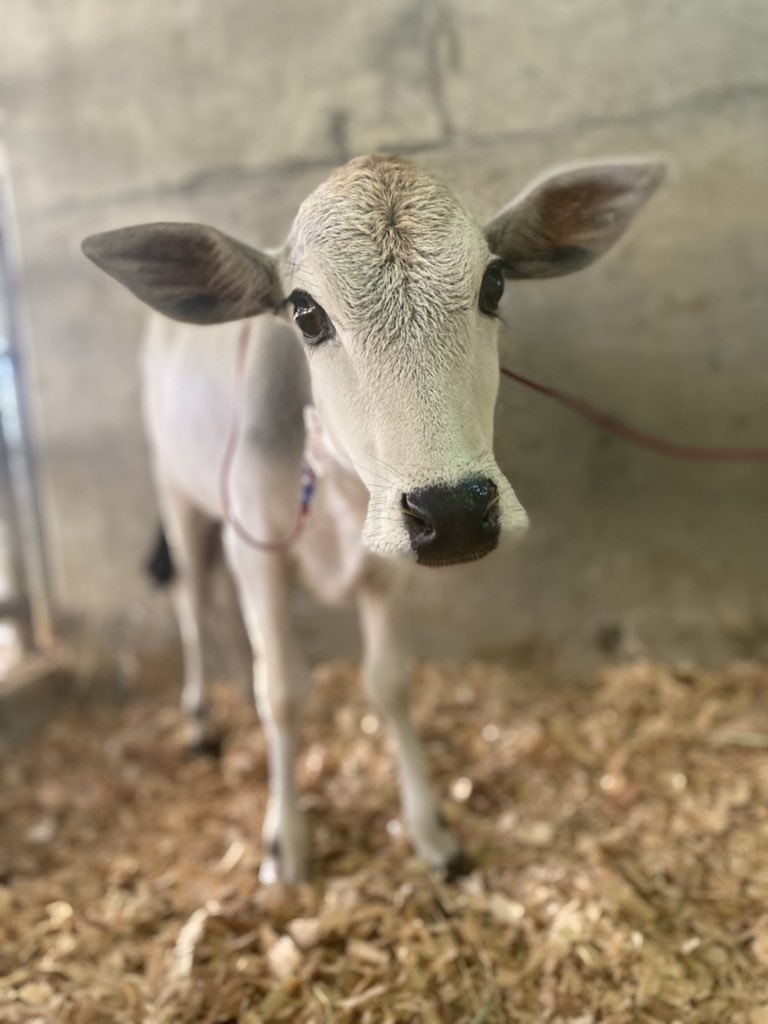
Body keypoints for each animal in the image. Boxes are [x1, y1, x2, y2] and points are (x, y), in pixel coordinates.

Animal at [82, 153, 663, 880]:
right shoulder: (259, 555)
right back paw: (201, 721)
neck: (334, 488)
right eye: (305, 313)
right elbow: (283, 691)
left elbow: (388, 684)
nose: (455, 511)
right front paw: (286, 842)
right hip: (176, 492)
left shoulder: (387, 568)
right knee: (192, 596)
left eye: (495, 284)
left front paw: (430, 831)